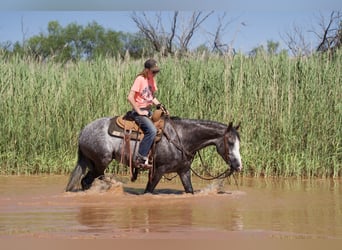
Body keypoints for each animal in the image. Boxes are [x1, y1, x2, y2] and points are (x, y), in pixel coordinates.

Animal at [66, 115, 243, 193]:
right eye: (231, 142)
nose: (239, 166)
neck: (182, 137)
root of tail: (83, 131)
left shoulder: (183, 171)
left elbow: (189, 190)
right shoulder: (158, 170)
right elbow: (148, 191)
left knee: (86, 181)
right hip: (100, 162)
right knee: (87, 180)